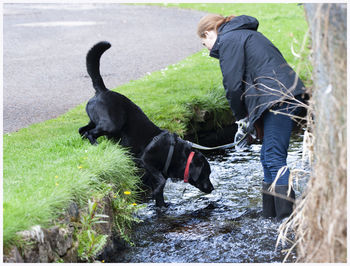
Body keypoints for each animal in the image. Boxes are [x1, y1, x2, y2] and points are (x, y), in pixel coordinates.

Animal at [79, 41, 215, 208]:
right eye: (206, 173)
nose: (212, 188)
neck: (174, 153)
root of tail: (102, 90)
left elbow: (160, 192)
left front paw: (162, 205)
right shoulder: (146, 161)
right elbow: (161, 181)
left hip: (95, 120)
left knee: (82, 130)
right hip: (111, 124)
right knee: (90, 133)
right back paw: (97, 145)